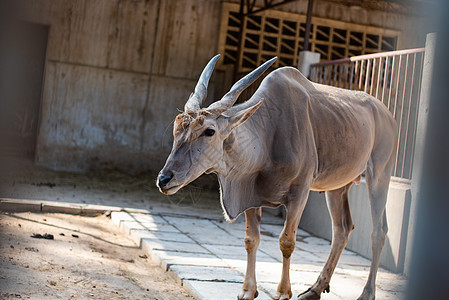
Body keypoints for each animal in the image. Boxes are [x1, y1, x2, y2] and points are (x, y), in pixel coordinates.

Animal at [157, 54, 396, 300]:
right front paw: (248, 291)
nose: (164, 179)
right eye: (177, 127)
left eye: (209, 131)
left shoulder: (299, 194)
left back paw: (366, 293)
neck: (268, 135)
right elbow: (251, 239)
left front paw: (283, 292)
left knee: (378, 231)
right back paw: (315, 289)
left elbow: (286, 241)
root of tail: (387, 114)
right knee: (342, 228)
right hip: (337, 187)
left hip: (380, 175)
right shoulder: (251, 196)